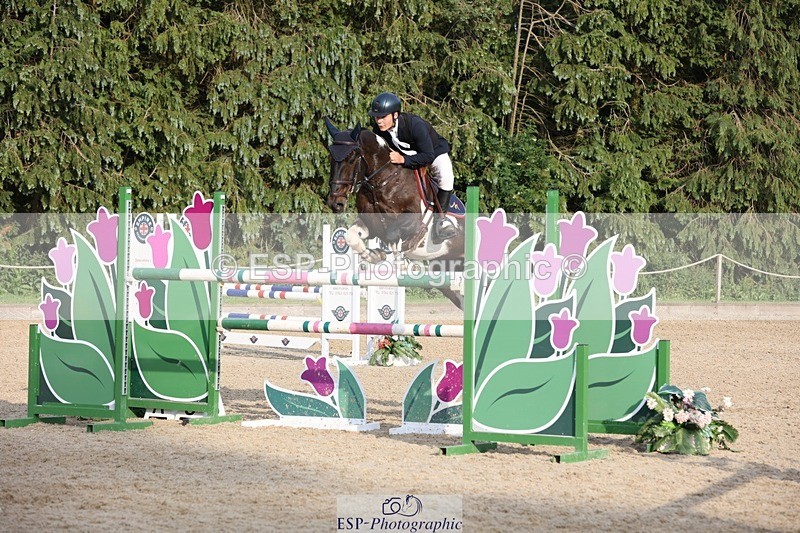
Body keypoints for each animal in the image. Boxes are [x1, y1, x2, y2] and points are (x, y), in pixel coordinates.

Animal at [324, 118, 465, 309]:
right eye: (332, 157)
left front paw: (401, 257)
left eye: (352, 158)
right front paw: (374, 255)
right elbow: (352, 236)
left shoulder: (411, 220)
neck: (381, 181)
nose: (335, 202)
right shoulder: (370, 222)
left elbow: (395, 235)